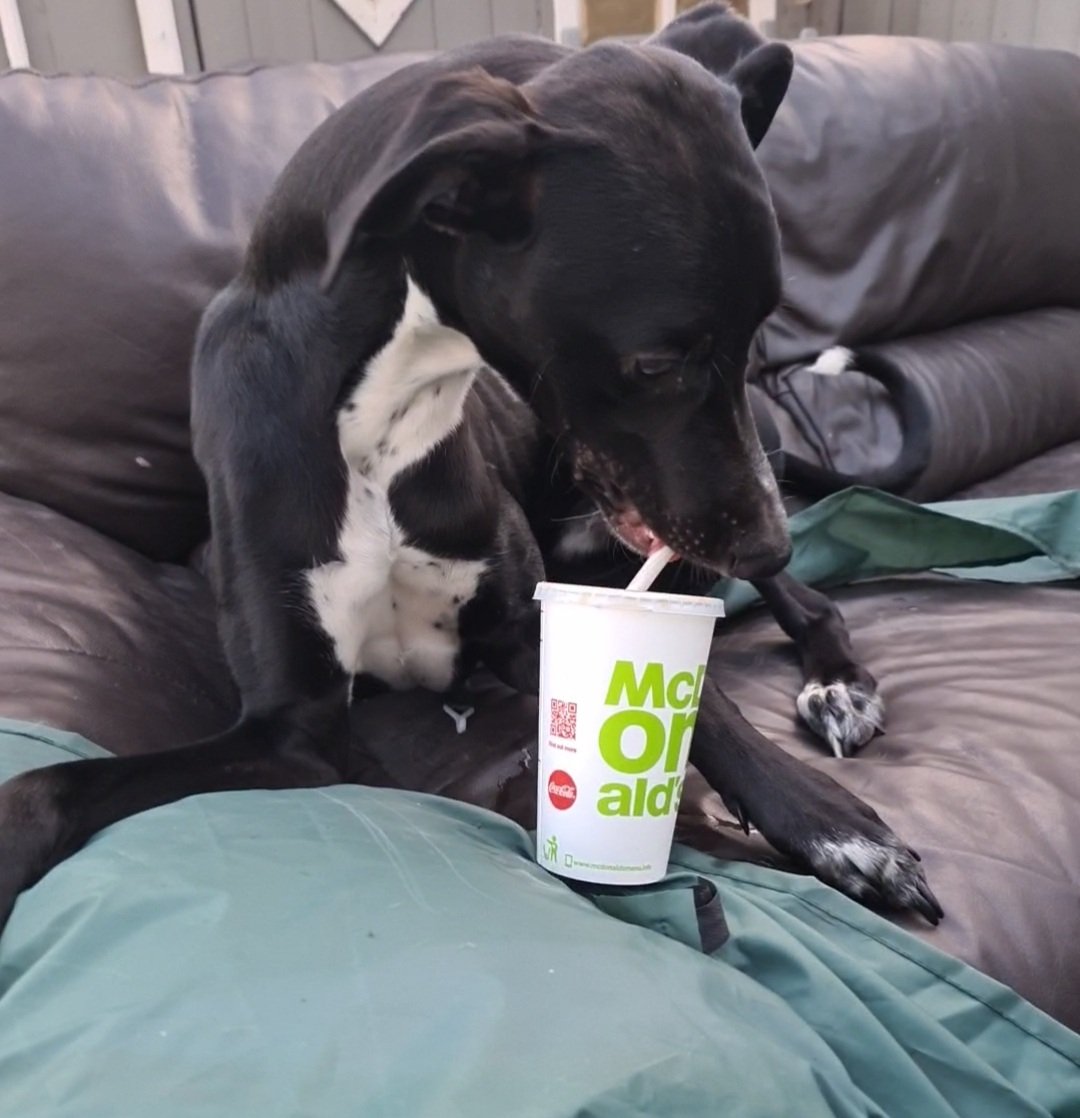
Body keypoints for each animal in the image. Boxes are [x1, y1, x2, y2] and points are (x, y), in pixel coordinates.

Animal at [0, 4, 939, 925]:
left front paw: (832, 826)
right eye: (654, 363)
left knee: (812, 605)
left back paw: (836, 685)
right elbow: (46, 790)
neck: (380, 432)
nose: (767, 546)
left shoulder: (527, 624)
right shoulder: (290, 729)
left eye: (757, 334)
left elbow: (710, 708)